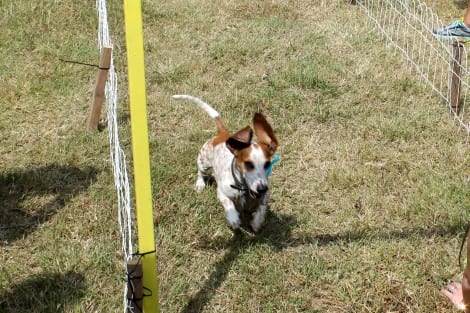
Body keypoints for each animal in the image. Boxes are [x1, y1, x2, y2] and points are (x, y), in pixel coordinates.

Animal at [173, 94, 278, 233]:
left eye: (267, 164)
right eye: (248, 164)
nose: (262, 188)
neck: (243, 188)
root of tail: (223, 134)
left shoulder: (265, 196)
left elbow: (262, 208)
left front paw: (257, 222)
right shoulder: (222, 192)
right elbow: (229, 204)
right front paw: (233, 219)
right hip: (203, 160)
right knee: (200, 172)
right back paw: (200, 184)